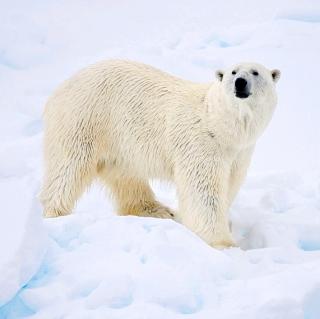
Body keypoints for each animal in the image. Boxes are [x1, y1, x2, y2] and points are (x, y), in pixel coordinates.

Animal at [40, 60, 280, 250]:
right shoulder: (201, 144)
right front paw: (223, 243)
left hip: (119, 141)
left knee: (125, 175)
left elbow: (229, 185)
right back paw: (54, 214)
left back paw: (157, 210)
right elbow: (203, 192)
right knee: (68, 168)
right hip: (85, 120)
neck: (218, 123)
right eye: (233, 72)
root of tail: (59, 88)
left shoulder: (239, 153)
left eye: (255, 72)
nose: (240, 82)